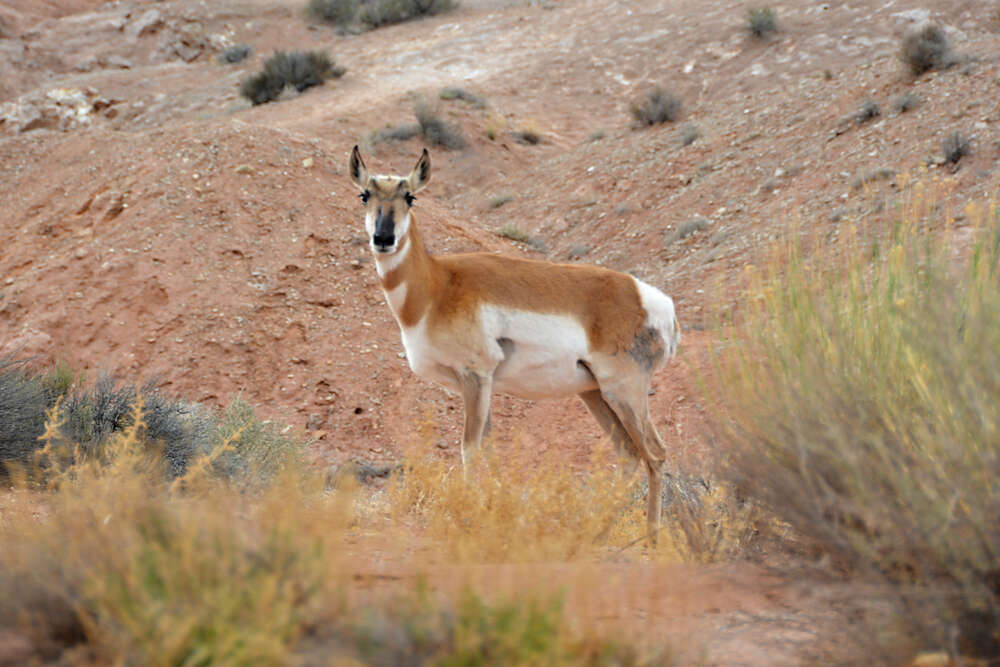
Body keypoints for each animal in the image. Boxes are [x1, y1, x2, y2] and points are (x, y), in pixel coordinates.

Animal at [346, 147, 680, 544]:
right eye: (364, 195)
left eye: (410, 196)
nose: (383, 237)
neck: (438, 286)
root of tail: (651, 299)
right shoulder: (480, 384)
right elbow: (489, 451)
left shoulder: (476, 377)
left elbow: (469, 449)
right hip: (595, 394)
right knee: (629, 455)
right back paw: (596, 536)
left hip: (624, 393)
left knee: (655, 454)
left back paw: (652, 540)